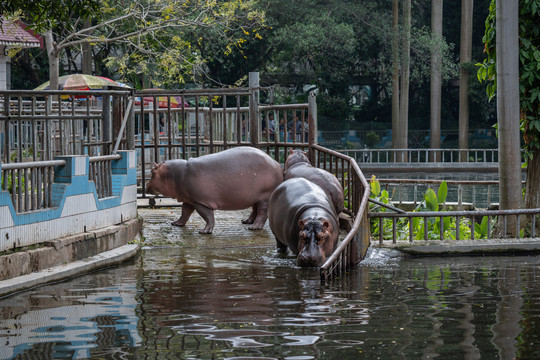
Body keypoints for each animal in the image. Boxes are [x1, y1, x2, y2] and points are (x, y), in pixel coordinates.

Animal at [146, 146, 284, 233]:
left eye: (152, 172)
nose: (147, 185)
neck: (175, 174)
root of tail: (276, 163)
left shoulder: (200, 202)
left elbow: (207, 216)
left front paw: (205, 231)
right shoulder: (189, 199)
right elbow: (184, 212)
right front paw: (176, 223)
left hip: (264, 197)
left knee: (262, 213)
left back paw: (254, 227)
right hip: (254, 196)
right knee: (254, 210)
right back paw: (246, 221)